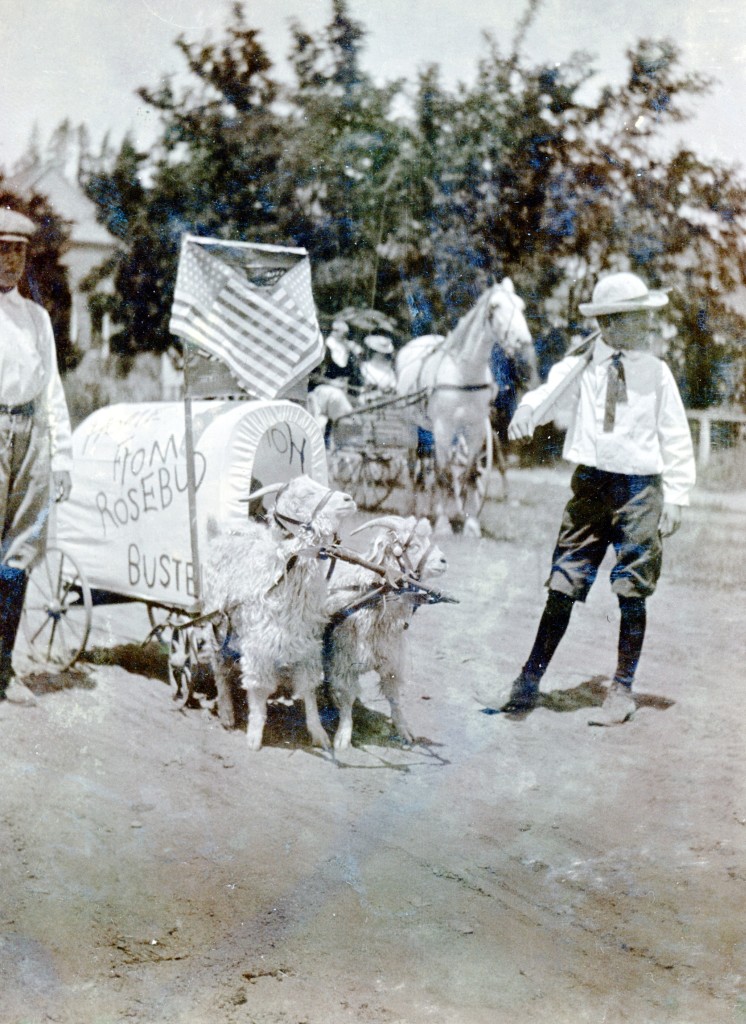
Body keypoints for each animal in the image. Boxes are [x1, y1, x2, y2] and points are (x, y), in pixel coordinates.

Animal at [203, 473, 354, 753]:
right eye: (305, 494)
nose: (349, 500)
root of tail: (219, 534)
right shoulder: (259, 645)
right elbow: (259, 690)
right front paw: (254, 735)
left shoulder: (307, 646)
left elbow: (308, 690)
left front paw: (318, 733)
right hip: (216, 622)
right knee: (220, 667)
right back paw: (227, 712)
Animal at [321, 516, 448, 749]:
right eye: (413, 545)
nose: (444, 561)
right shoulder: (345, 658)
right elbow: (348, 696)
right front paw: (343, 735)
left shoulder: (391, 658)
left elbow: (394, 697)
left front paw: (404, 730)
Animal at [395, 278, 528, 536]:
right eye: (495, 306)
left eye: (521, 306)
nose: (522, 340)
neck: (463, 373)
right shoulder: (443, 428)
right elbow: (444, 473)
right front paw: (443, 524)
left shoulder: (474, 430)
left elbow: (469, 472)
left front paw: (470, 523)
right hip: (410, 427)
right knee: (415, 469)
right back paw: (414, 510)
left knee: (428, 470)